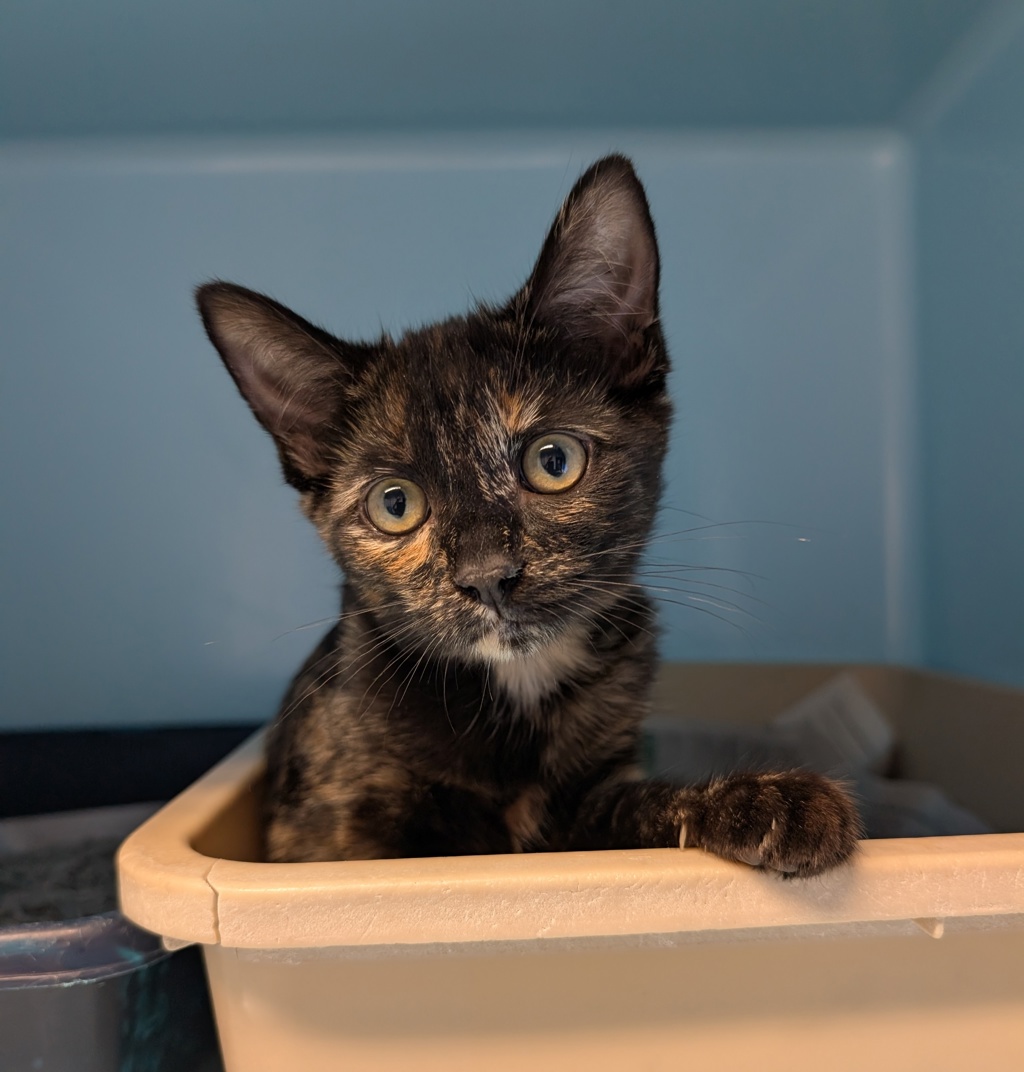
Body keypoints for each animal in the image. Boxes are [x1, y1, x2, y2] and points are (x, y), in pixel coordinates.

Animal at [197, 154, 860, 875]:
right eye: (395, 504)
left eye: (553, 461)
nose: (488, 575)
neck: (519, 684)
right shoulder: (329, 827)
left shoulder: (590, 799)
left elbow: (638, 812)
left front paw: (761, 802)